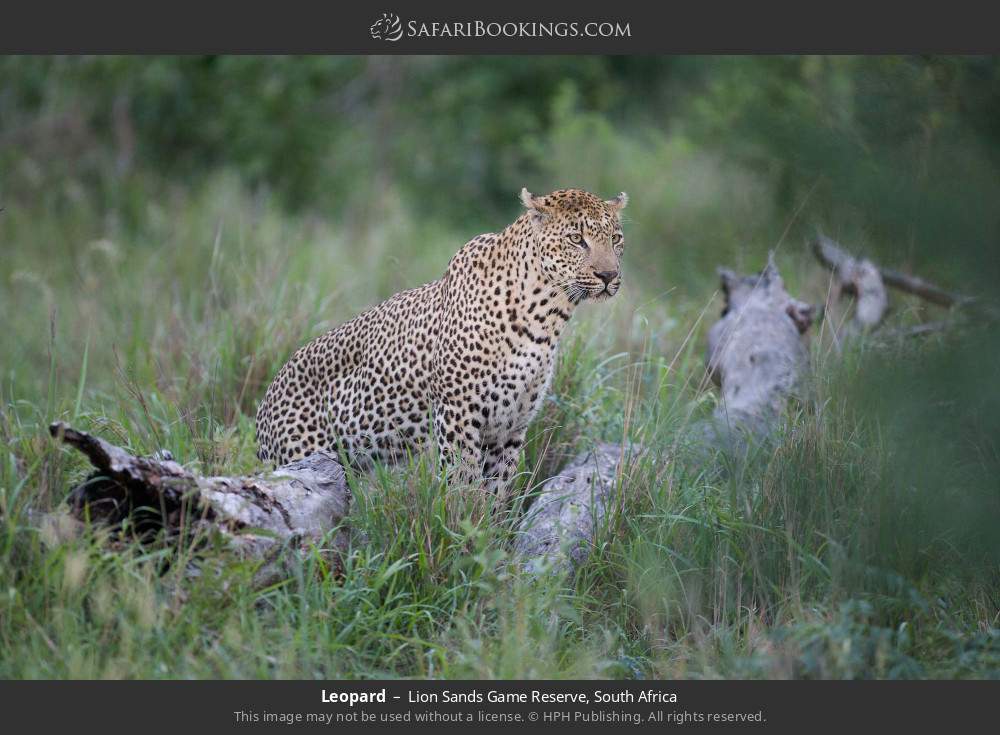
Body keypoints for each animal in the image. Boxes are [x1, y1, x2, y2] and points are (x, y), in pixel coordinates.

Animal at [255, 187, 628, 506]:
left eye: (615, 239)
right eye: (576, 239)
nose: (609, 276)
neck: (547, 316)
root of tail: (263, 409)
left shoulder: (510, 427)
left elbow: (497, 493)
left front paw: (488, 535)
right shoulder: (457, 414)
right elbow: (463, 481)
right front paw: (463, 528)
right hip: (302, 457)